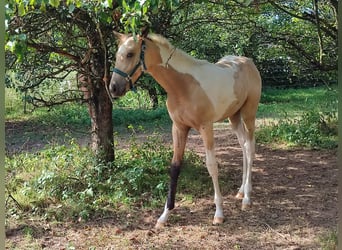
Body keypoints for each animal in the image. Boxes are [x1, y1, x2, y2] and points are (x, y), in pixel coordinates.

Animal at [109, 30, 262, 228]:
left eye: (130, 54)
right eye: (116, 55)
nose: (113, 88)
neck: (184, 86)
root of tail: (247, 61)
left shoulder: (206, 127)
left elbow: (212, 166)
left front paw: (219, 213)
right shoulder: (179, 128)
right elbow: (175, 167)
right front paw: (164, 215)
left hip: (249, 114)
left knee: (250, 148)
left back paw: (247, 198)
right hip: (234, 117)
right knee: (243, 147)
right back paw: (241, 191)